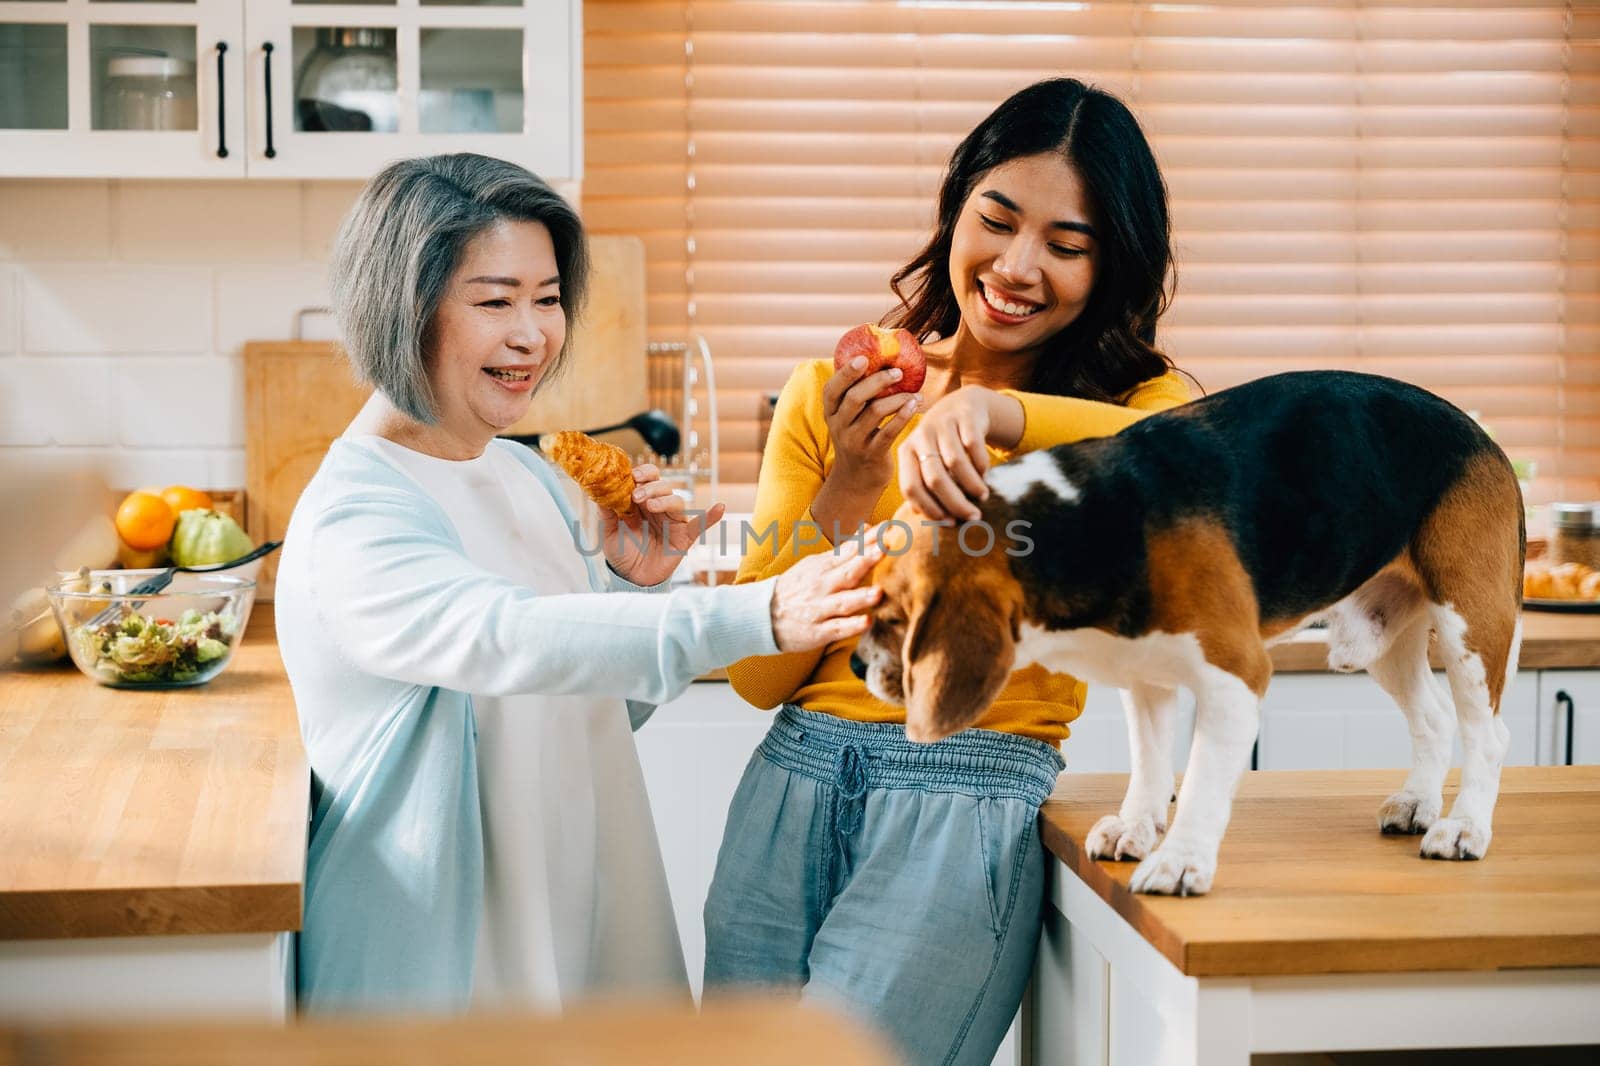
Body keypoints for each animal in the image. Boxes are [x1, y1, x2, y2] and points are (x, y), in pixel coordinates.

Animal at [851, 369, 1523, 889]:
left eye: (894, 613)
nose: (857, 666)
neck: (1094, 522)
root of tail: (1483, 436)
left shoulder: (1234, 679)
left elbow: (1199, 780)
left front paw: (1180, 861)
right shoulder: (1145, 676)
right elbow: (1150, 763)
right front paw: (1136, 826)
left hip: (1468, 624)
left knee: (1489, 735)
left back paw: (1464, 826)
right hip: (1378, 638)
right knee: (1434, 717)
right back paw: (1417, 803)